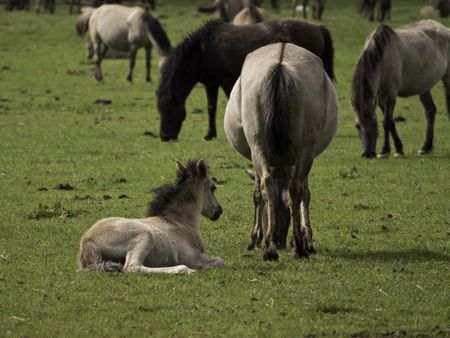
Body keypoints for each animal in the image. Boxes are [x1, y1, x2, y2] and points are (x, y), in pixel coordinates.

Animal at [79, 160, 225, 274]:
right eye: (213, 188)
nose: (219, 211)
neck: (179, 223)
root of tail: (87, 241)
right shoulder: (191, 257)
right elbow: (220, 260)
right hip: (145, 234)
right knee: (132, 266)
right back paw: (183, 270)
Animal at [156, 18, 334, 141]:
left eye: (169, 110)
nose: (164, 136)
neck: (203, 51)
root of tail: (318, 28)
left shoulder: (227, 80)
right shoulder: (211, 84)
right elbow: (211, 108)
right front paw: (210, 134)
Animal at [224, 42, 338, 258]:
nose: (279, 240)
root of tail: (280, 64)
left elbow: (258, 194)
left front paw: (256, 238)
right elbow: (305, 194)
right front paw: (306, 239)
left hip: (258, 144)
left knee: (268, 184)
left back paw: (271, 248)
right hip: (304, 148)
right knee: (294, 188)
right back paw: (295, 247)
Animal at [352, 20, 450, 158]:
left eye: (374, 123)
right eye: (357, 126)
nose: (367, 153)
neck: (383, 56)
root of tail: (445, 29)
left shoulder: (391, 94)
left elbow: (386, 122)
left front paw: (385, 151)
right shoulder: (380, 98)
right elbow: (391, 122)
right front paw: (398, 149)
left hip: (447, 79)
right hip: (423, 86)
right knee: (430, 112)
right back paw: (425, 147)